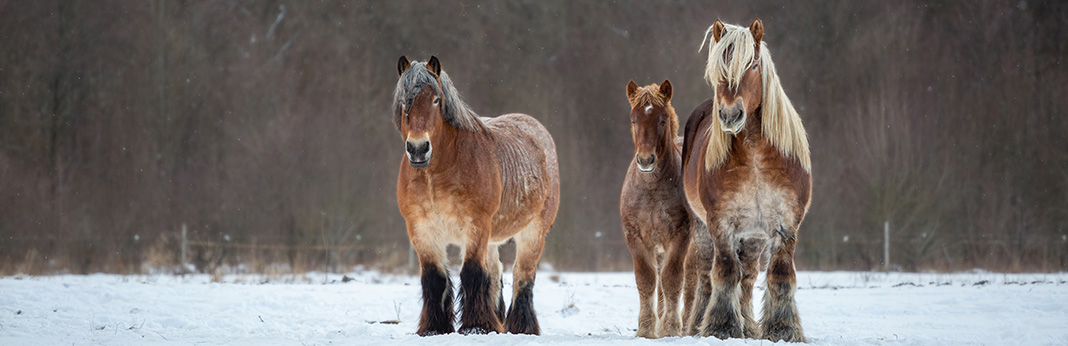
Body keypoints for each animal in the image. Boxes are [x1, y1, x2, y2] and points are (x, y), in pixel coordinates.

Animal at [393, 56, 559, 335]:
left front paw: (476, 327)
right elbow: (434, 277)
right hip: (491, 238)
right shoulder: (421, 228)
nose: (418, 148)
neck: (436, 176)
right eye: (405, 100)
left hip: (533, 232)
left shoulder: (475, 225)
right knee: (495, 272)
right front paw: (434, 328)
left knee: (522, 275)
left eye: (436, 100)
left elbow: (471, 273)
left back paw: (521, 327)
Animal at [619, 80, 700, 337]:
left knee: (691, 283)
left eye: (662, 120)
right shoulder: (635, 237)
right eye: (634, 119)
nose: (646, 160)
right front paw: (646, 329)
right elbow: (647, 281)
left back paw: (687, 324)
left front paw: (672, 328)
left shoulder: (680, 237)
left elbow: (673, 280)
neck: (652, 188)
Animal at [679, 17, 811, 341]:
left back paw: (750, 326)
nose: (730, 115)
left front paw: (782, 330)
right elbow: (725, 273)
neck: (755, 157)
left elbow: (780, 275)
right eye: (719, 68)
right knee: (706, 276)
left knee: (749, 277)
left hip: (753, 238)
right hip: (703, 230)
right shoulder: (721, 222)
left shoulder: (785, 223)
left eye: (752, 65)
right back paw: (699, 324)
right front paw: (721, 327)